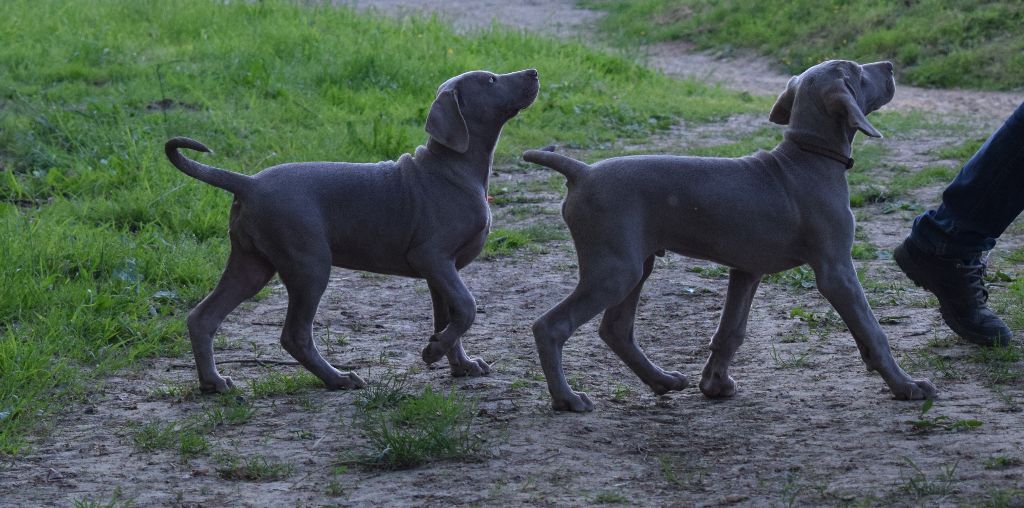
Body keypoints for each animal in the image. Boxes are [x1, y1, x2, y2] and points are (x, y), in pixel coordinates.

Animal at [163, 68, 540, 393]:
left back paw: (214, 383)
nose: (533, 72)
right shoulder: (432, 257)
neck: (455, 168)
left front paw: (460, 364)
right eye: (491, 80)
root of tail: (249, 183)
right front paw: (433, 352)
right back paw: (338, 378)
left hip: (251, 264)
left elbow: (450, 316)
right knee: (294, 335)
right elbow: (467, 306)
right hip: (309, 264)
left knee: (202, 317)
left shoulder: (442, 271)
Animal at [528, 59, 937, 411]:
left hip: (636, 266)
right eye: (855, 71)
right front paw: (906, 385)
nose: (889, 65)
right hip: (616, 269)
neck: (808, 157)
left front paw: (714, 384)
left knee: (615, 329)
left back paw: (662, 380)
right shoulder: (835, 270)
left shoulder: (746, 271)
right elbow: (872, 330)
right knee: (551, 325)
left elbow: (731, 331)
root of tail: (581, 171)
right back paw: (567, 398)